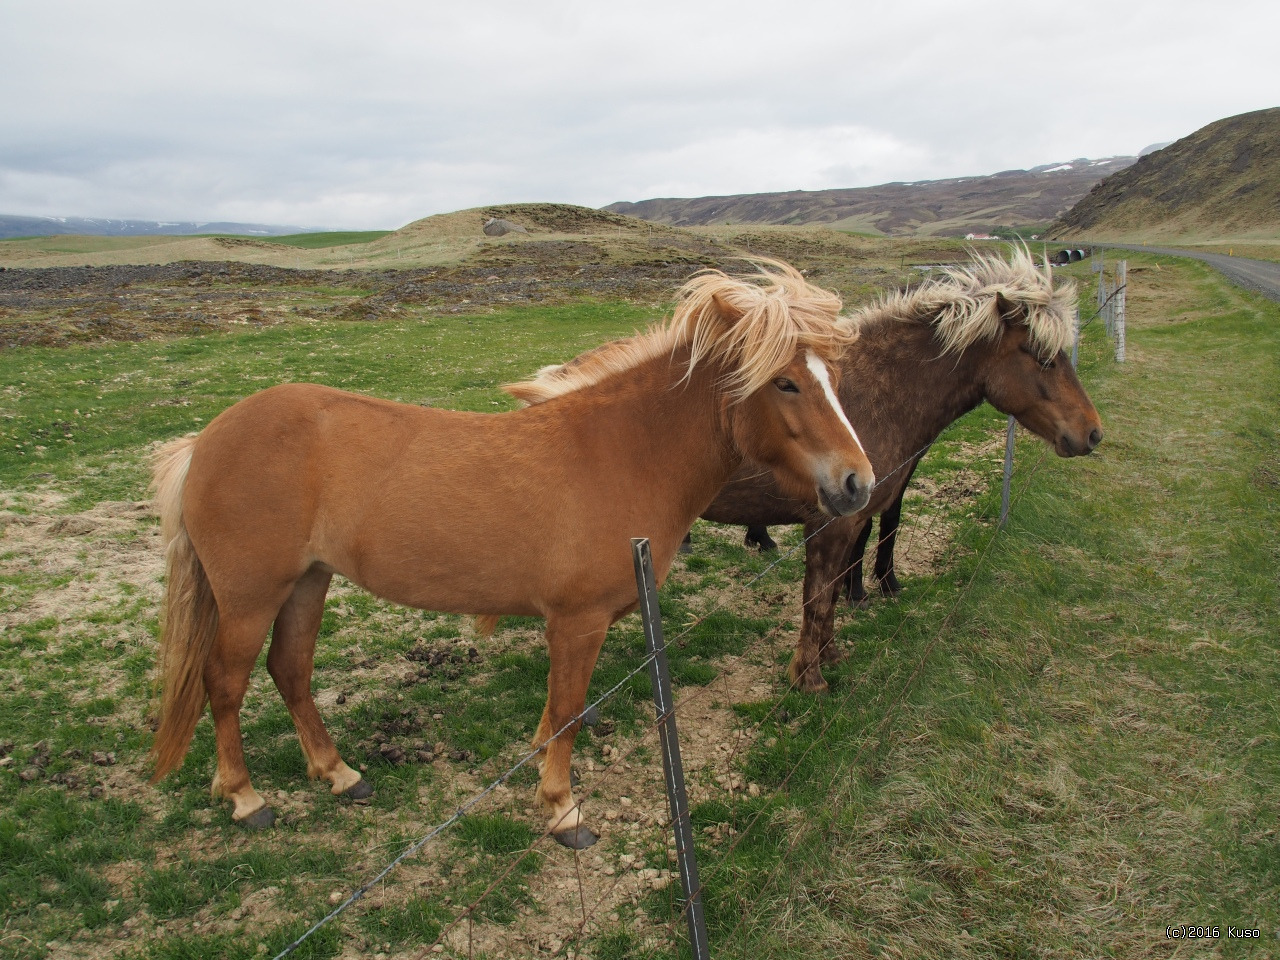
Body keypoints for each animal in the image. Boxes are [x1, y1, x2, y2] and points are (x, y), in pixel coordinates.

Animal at [147, 257, 870, 849]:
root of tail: (206, 440)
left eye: (832, 376)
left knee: (290, 672)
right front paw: (562, 810)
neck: (621, 451)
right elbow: (569, 713)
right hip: (251, 596)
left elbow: (554, 715)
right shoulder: (576, 624)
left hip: (308, 582)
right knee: (226, 683)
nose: (857, 482)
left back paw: (340, 774)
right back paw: (246, 798)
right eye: (785, 383)